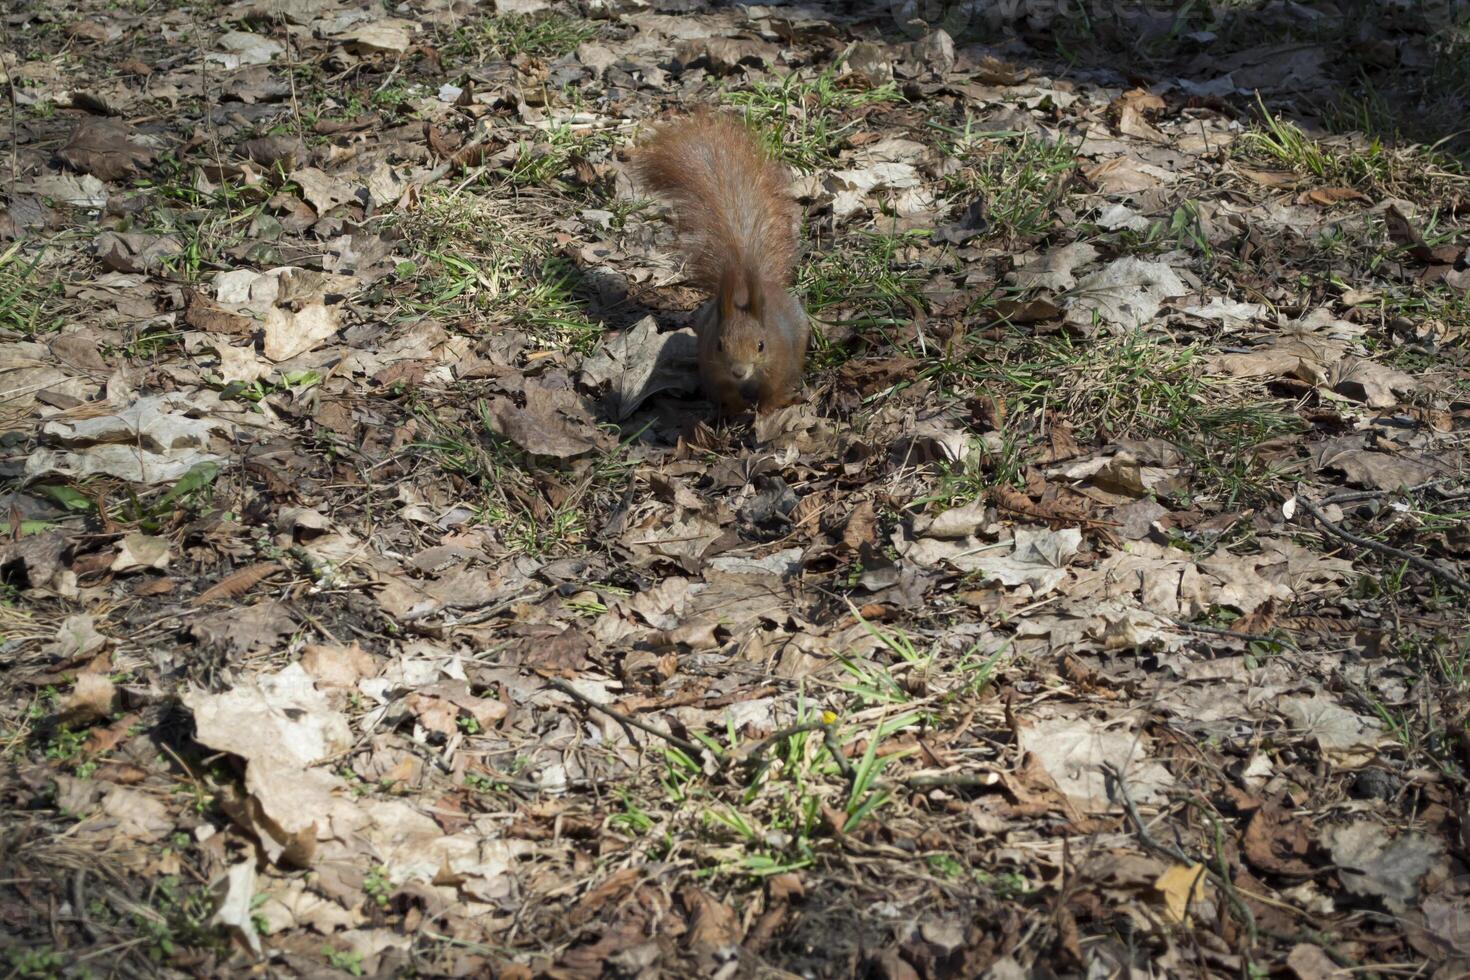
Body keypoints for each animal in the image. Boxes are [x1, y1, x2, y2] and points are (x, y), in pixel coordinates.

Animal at [632, 113, 817, 414]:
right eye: (719, 345)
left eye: (761, 345)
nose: (738, 372)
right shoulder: (714, 371)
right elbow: (725, 394)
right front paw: (737, 409)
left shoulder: (778, 368)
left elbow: (773, 393)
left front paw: (765, 412)